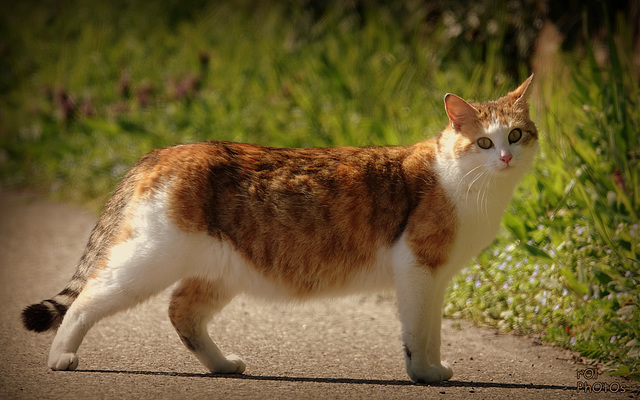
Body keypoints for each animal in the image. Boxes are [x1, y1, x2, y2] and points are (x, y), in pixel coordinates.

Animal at [22, 75, 536, 384]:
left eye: (516, 135)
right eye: (483, 142)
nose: (505, 157)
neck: (465, 182)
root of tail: (166, 150)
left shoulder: (437, 278)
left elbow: (431, 328)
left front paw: (431, 368)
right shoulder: (418, 269)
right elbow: (420, 331)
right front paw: (425, 372)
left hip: (220, 270)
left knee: (182, 312)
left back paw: (223, 365)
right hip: (148, 259)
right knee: (86, 300)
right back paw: (60, 357)